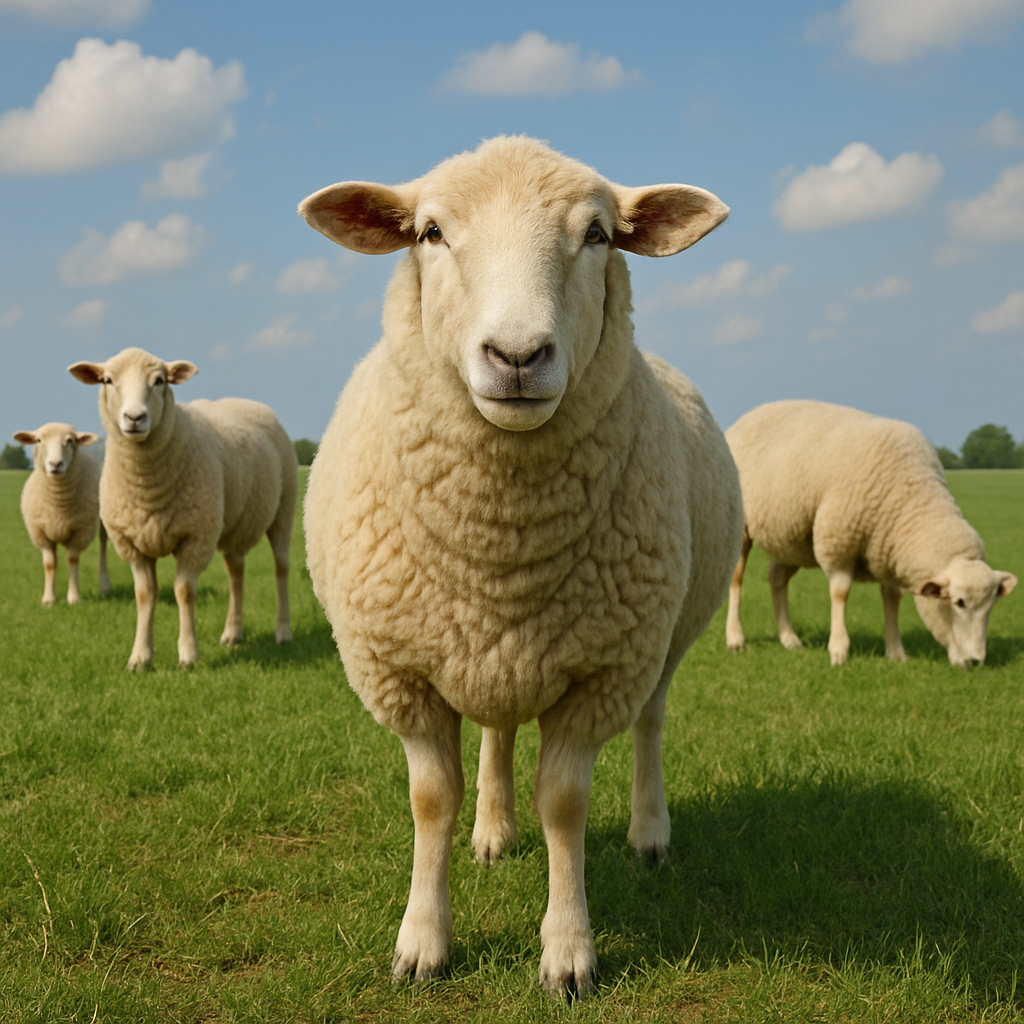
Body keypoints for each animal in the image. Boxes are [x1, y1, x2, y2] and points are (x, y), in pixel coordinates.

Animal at [13, 422, 110, 606]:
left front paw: (74, 598)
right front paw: (48, 599)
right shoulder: (42, 534)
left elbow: (72, 560)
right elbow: (50, 564)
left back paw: (104, 586)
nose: (55, 464)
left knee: (103, 543)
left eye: (70, 441)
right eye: (38, 440)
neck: (58, 504)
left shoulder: (80, 532)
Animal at [67, 347, 298, 670]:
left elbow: (184, 592)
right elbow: (144, 595)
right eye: (108, 381)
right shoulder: (133, 544)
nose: (135, 417)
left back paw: (283, 631)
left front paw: (188, 655)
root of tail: (246, 401)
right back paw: (233, 632)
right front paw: (140, 657)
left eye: (160, 381)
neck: (147, 488)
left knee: (281, 568)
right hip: (232, 525)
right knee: (236, 572)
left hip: (283, 510)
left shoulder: (195, 537)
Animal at [299, 136, 743, 997]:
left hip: (661, 640)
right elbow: (430, 800)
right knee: (499, 733)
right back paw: (494, 829)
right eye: (431, 233)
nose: (516, 356)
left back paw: (649, 833)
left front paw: (568, 952)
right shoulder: (403, 671)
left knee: (650, 724)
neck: (500, 551)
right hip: (492, 654)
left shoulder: (603, 671)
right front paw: (422, 942)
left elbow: (565, 805)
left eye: (598, 235)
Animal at [724, 399, 1017, 667]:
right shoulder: (839, 541)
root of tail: (744, 419)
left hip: (792, 538)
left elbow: (892, 599)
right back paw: (735, 638)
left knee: (776, 578)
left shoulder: (887, 553)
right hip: (740, 528)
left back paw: (789, 638)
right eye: (959, 603)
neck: (911, 498)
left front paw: (896, 653)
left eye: (991, 606)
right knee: (736, 579)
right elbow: (840, 593)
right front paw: (838, 651)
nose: (976, 662)